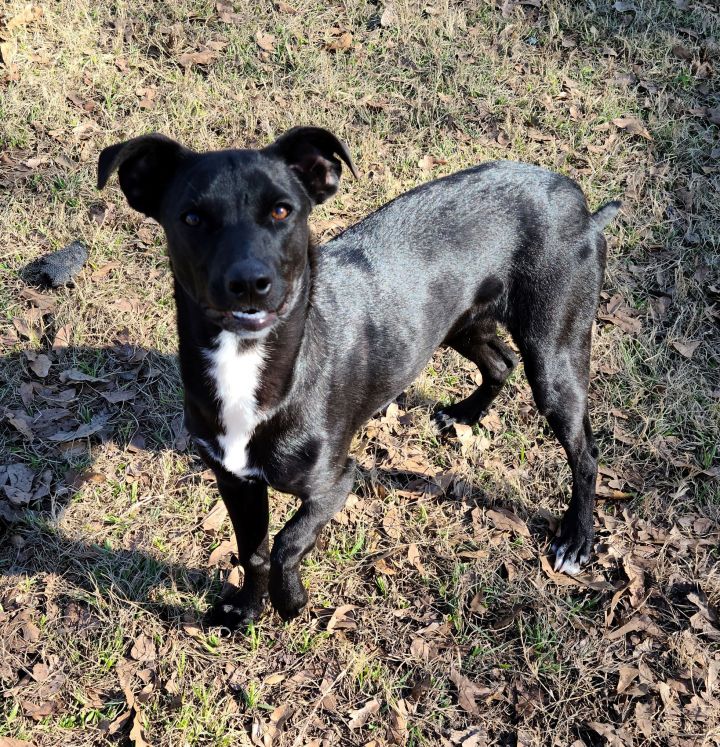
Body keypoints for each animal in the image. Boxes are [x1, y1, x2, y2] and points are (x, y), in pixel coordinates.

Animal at [98, 127, 620, 624]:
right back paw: (466, 414)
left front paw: (290, 603)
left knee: (585, 452)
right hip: (457, 324)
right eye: (191, 218)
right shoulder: (235, 481)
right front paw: (246, 610)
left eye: (283, 211)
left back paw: (577, 539)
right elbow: (254, 552)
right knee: (500, 363)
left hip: (553, 354)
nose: (249, 283)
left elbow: (287, 543)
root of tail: (582, 206)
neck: (252, 363)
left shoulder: (335, 482)